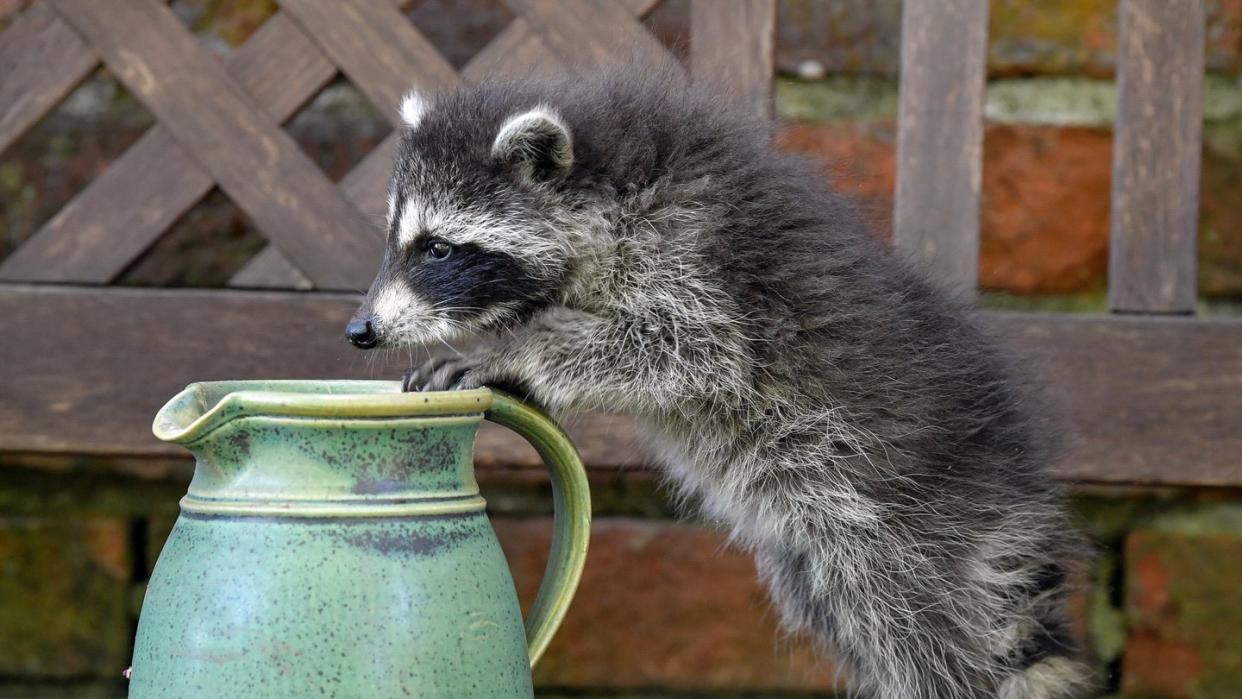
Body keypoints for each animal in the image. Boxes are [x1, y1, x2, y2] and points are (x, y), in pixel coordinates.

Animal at [345, 72, 1092, 699]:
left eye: (438, 248)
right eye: (394, 241)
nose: (362, 328)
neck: (608, 180)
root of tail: (1006, 479)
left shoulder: (692, 258)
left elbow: (687, 351)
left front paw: (517, 353)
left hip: (898, 525)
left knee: (918, 634)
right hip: (819, 548)